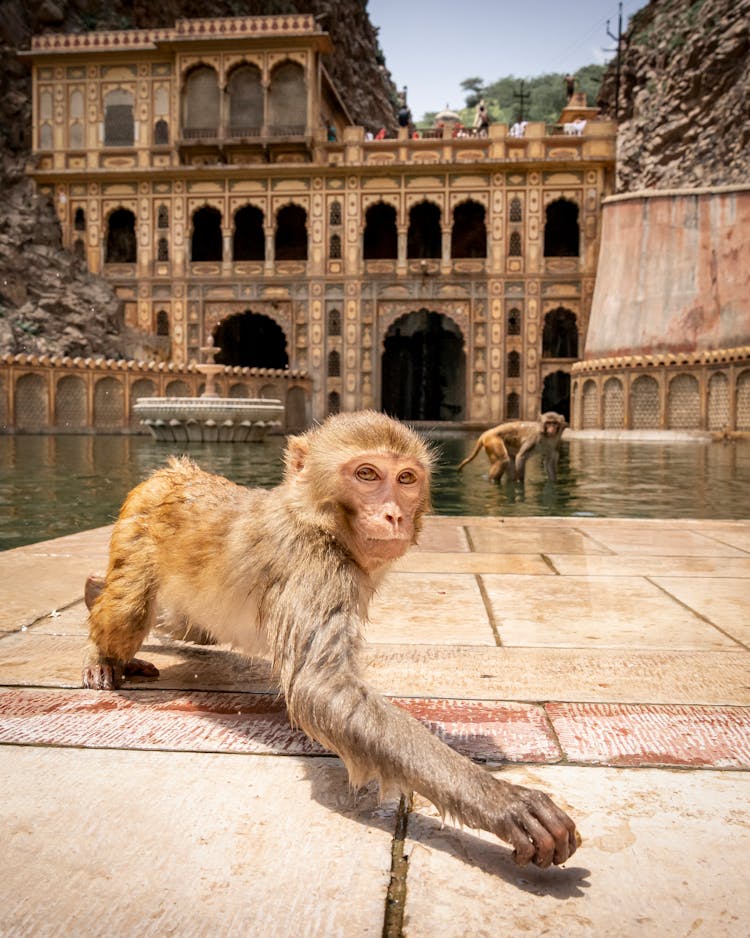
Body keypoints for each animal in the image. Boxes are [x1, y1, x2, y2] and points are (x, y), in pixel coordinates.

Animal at [82, 414, 580, 868]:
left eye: (405, 478)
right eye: (367, 474)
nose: (394, 514)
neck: (319, 519)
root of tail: (172, 471)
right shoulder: (312, 562)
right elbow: (321, 687)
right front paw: (501, 801)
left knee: (187, 626)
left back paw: (92, 590)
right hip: (139, 525)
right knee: (129, 611)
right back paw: (105, 651)